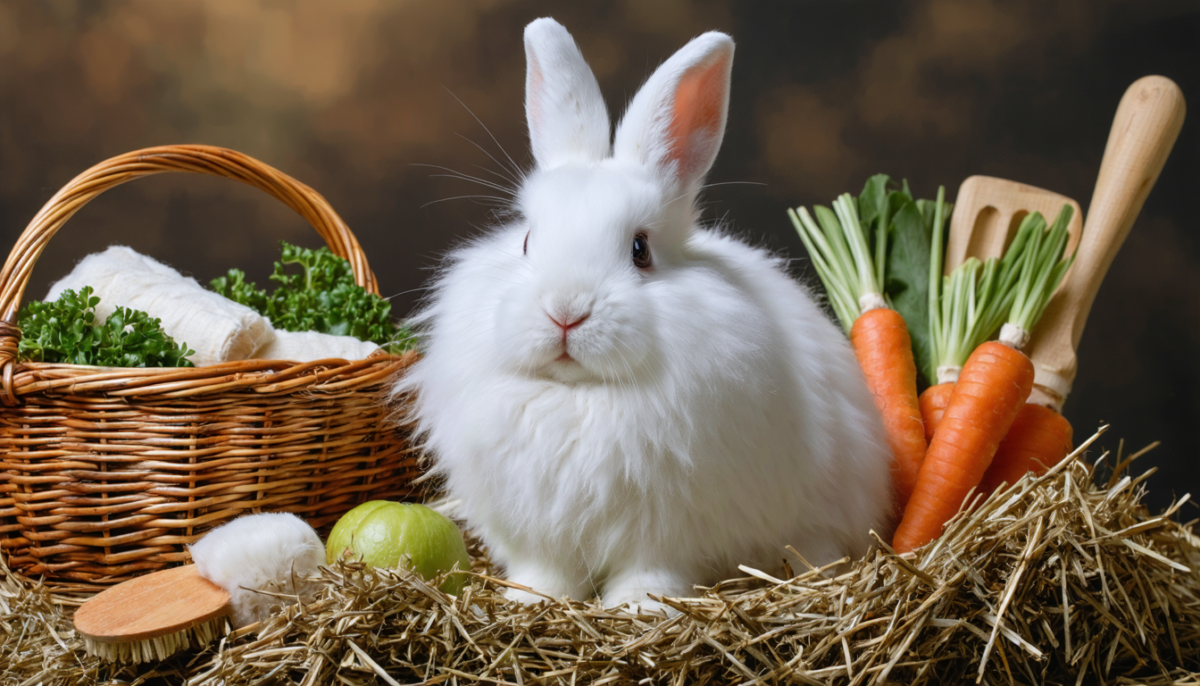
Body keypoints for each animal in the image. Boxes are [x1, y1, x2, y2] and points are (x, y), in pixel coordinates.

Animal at [392, 17, 894, 614]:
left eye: (640, 250)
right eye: (528, 240)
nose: (565, 312)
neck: (580, 397)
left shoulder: (667, 532)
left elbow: (651, 572)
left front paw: (638, 608)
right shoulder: (540, 530)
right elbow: (546, 571)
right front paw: (530, 602)